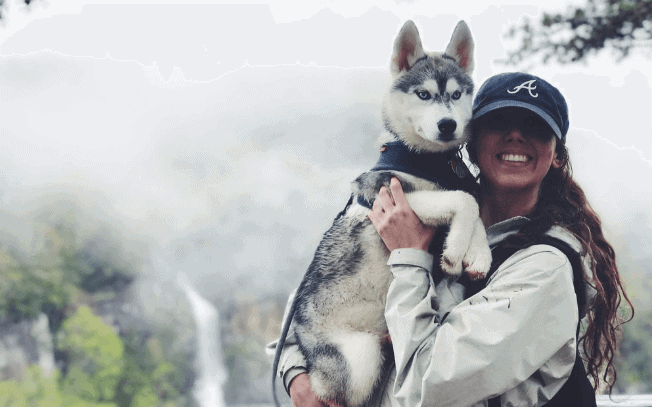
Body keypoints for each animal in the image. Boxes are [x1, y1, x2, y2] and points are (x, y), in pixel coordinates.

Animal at [272, 20, 492, 407]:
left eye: (455, 94)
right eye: (423, 94)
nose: (447, 125)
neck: (429, 161)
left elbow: (471, 201)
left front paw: (476, 254)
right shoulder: (383, 193)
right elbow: (466, 201)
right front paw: (455, 253)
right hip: (359, 358)